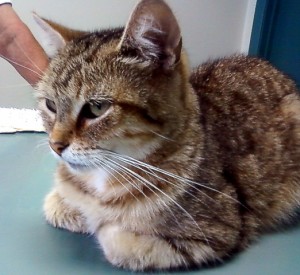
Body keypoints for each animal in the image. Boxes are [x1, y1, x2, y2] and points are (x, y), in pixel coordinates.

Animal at [34, 0, 300, 272]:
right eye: (50, 105)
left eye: (97, 108)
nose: (55, 145)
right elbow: (59, 201)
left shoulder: (214, 234)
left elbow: (114, 238)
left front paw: (99, 222)